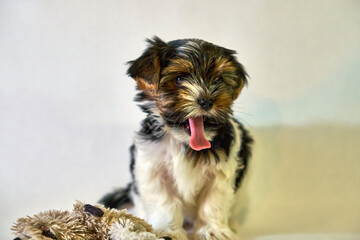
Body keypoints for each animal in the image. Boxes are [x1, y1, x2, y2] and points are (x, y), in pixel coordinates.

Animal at [101, 36, 253, 240]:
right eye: (180, 78)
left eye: (218, 80)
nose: (206, 101)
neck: (182, 140)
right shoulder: (152, 167)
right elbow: (164, 202)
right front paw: (169, 231)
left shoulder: (221, 171)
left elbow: (213, 201)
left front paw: (212, 231)